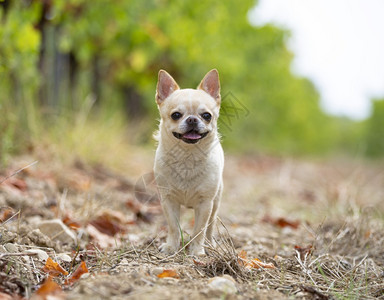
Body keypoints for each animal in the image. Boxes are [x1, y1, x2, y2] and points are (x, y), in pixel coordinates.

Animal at [154, 69, 224, 255]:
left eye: (207, 116)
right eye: (176, 115)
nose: (192, 119)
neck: (187, 157)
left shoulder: (205, 204)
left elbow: (199, 230)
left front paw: (197, 251)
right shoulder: (168, 201)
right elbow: (173, 227)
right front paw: (171, 247)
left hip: (215, 203)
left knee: (210, 226)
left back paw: (209, 244)